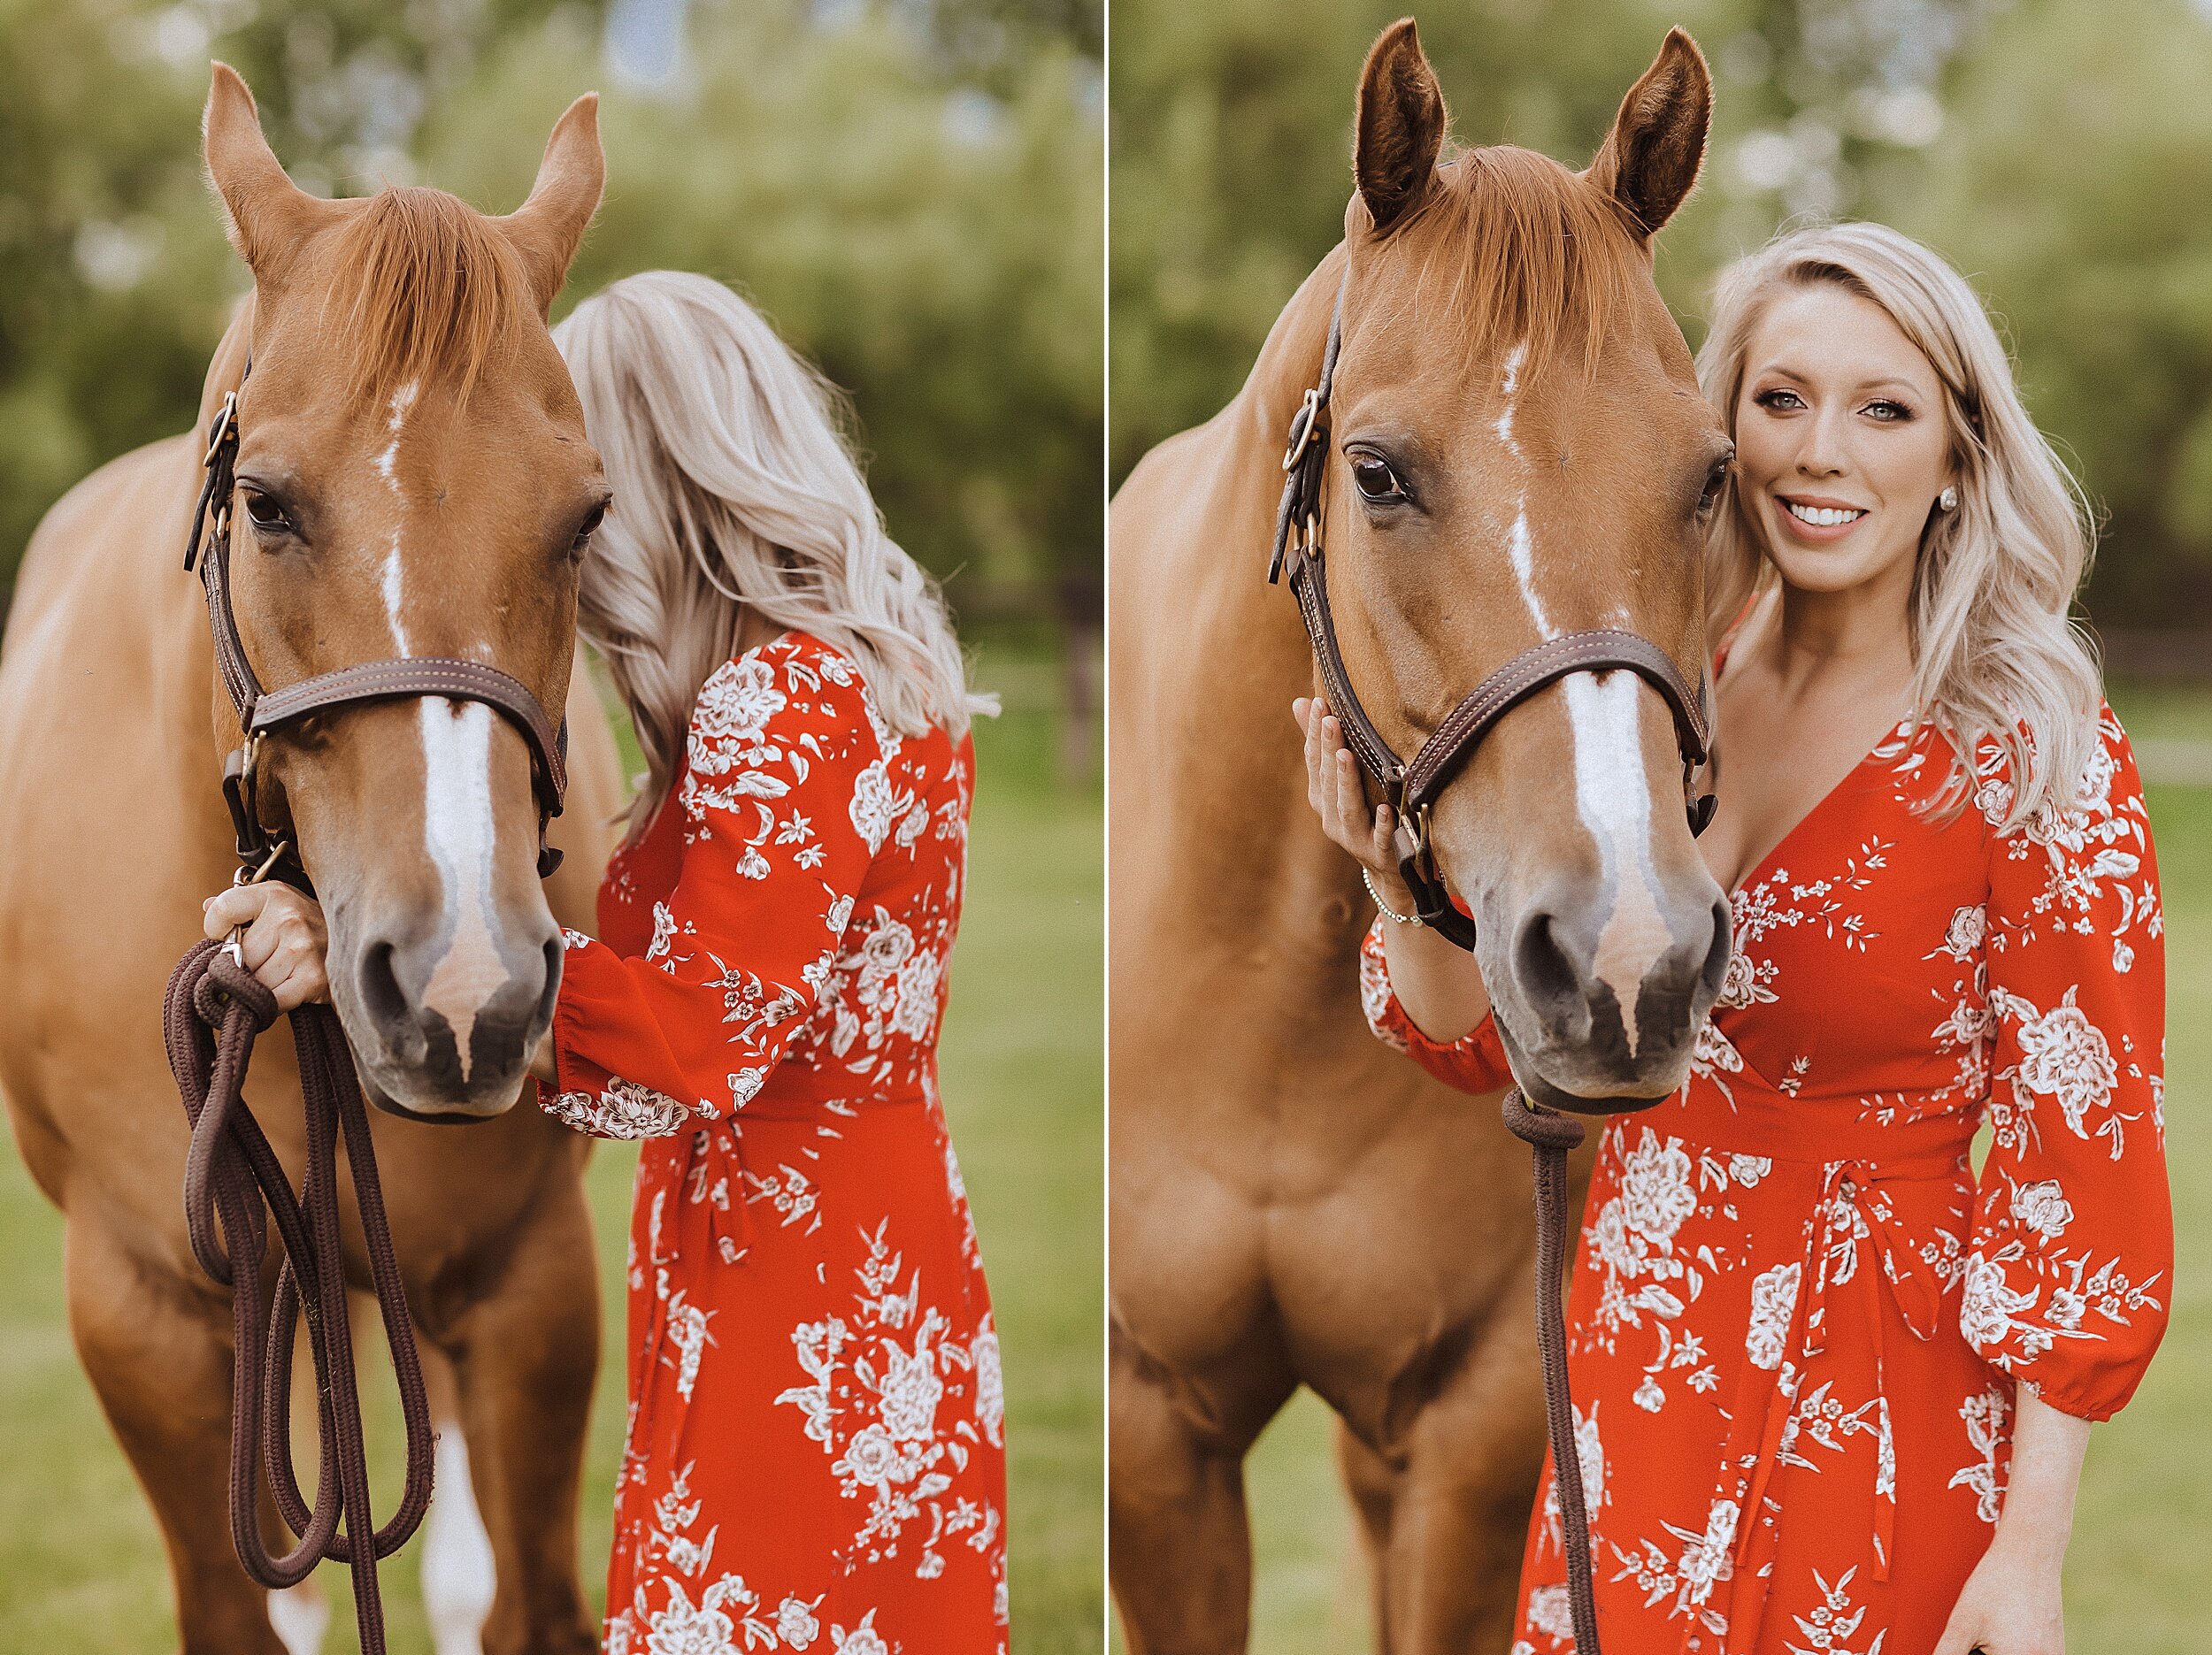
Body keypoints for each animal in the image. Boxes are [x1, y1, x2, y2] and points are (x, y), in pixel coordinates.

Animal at [0, 67, 628, 1654]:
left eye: (585, 518)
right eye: (271, 502)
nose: (464, 987)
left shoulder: (526, 1287)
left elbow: (517, 1598)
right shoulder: (147, 1318)